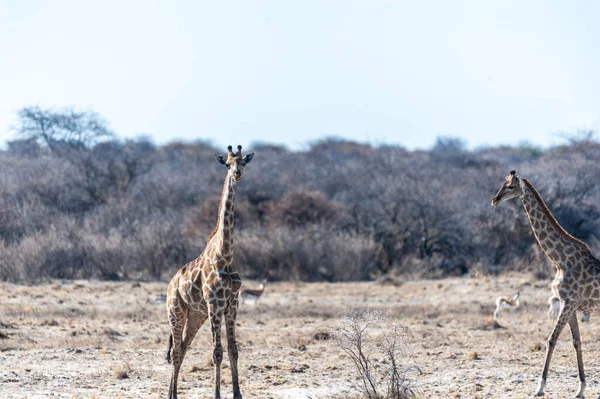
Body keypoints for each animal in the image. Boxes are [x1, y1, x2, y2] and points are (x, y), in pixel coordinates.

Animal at [165, 146, 254, 399]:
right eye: (227, 164)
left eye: (244, 162)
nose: (237, 174)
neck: (225, 253)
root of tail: (170, 285)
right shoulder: (215, 303)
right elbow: (217, 351)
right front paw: (216, 395)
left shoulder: (232, 304)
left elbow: (233, 349)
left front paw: (237, 394)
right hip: (176, 312)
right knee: (175, 351)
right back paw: (172, 395)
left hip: (196, 315)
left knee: (182, 348)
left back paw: (172, 394)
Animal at [492, 170, 600, 398]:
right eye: (502, 184)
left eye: (511, 187)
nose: (495, 200)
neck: (560, 260)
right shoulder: (571, 305)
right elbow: (576, 341)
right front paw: (580, 389)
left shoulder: (568, 303)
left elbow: (552, 339)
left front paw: (540, 387)